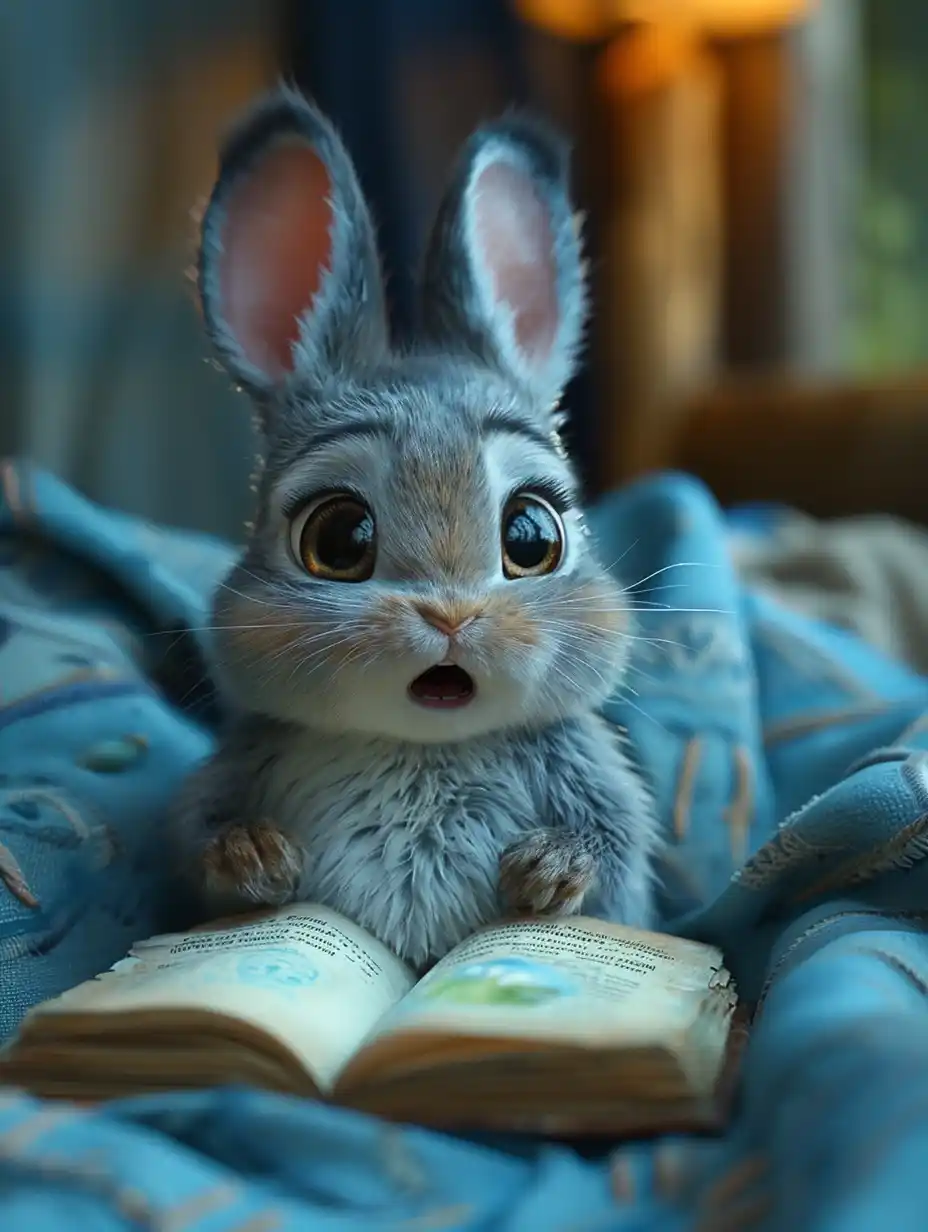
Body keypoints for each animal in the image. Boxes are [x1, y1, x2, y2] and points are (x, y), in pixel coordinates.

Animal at [171, 85, 661, 970]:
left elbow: (612, 849)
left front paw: (547, 872)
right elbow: (200, 844)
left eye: (532, 537)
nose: (451, 617)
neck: (423, 745)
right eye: (339, 541)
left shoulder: (602, 794)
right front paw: (254, 856)